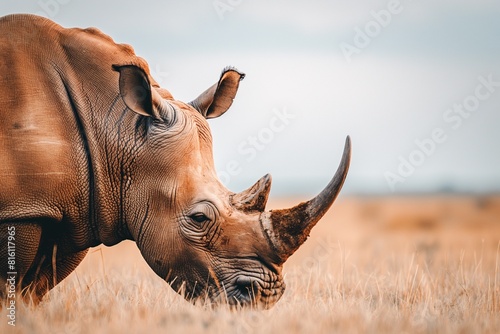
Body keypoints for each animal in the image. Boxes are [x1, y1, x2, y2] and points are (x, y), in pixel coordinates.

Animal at [0, 15, 352, 308]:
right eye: (199, 218)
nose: (264, 299)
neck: (116, 127)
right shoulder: (23, 210)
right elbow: (11, 287)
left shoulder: (76, 211)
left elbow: (33, 289)